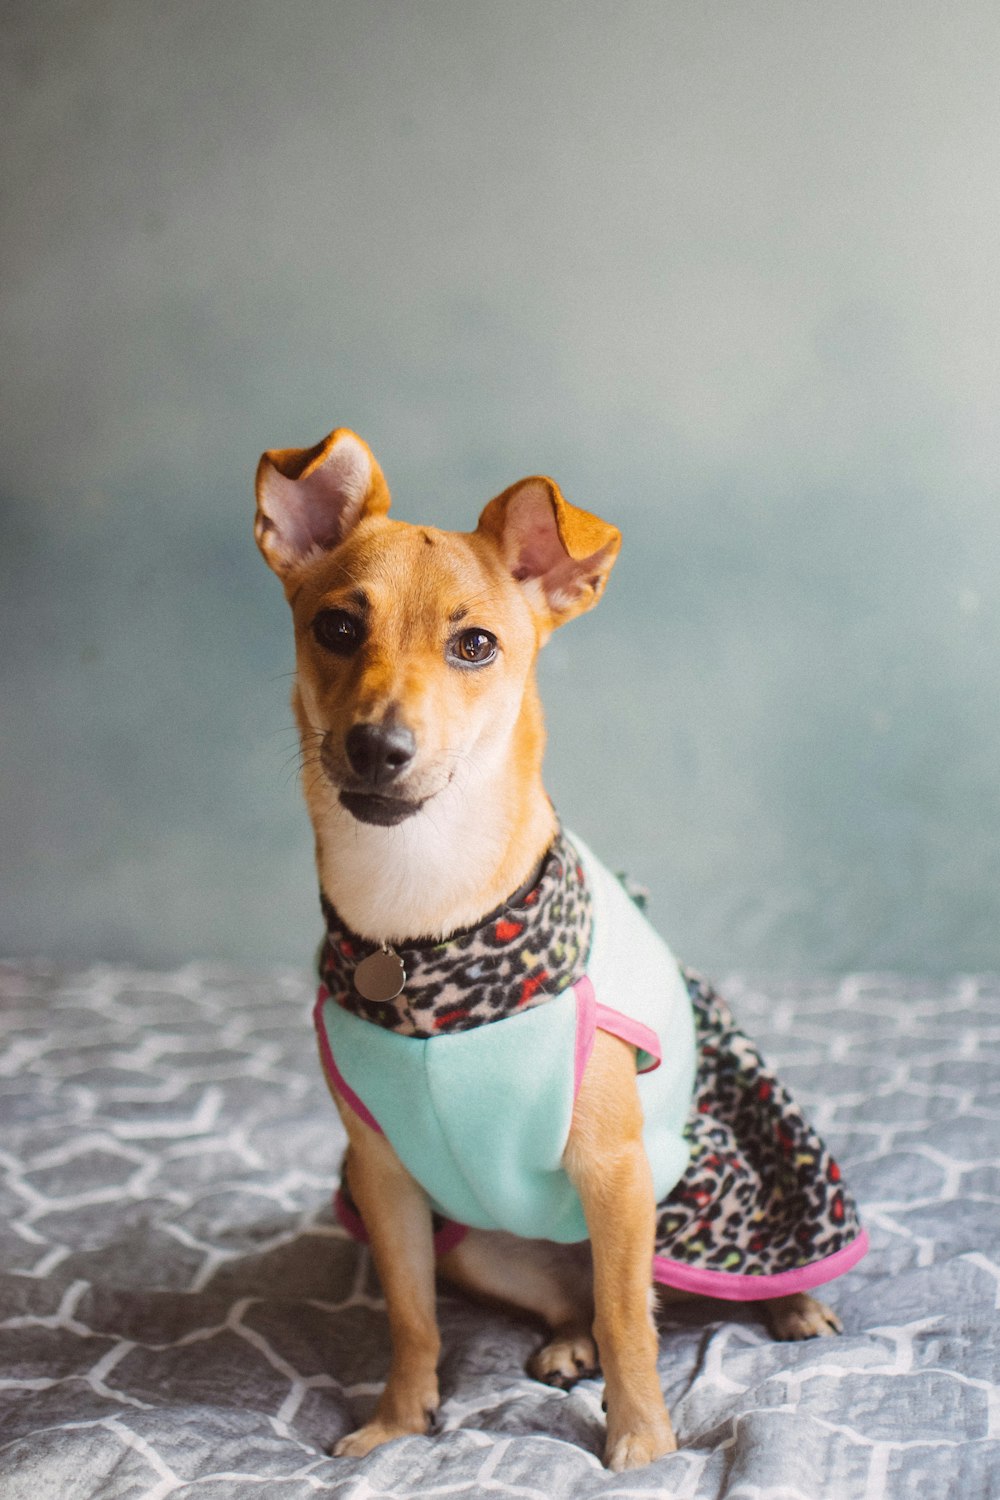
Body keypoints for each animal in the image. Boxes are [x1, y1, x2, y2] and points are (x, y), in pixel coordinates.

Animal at [256, 429, 869, 1470]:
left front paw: (644, 1442)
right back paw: (563, 1342)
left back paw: (792, 1303)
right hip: (477, 1240)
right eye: (336, 628)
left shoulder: (615, 1173)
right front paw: (396, 1422)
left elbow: (633, 1321)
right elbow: (411, 1318)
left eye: (475, 646)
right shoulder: (384, 1180)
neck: (423, 920)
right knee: (568, 1297)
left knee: (663, 1287)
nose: (378, 745)